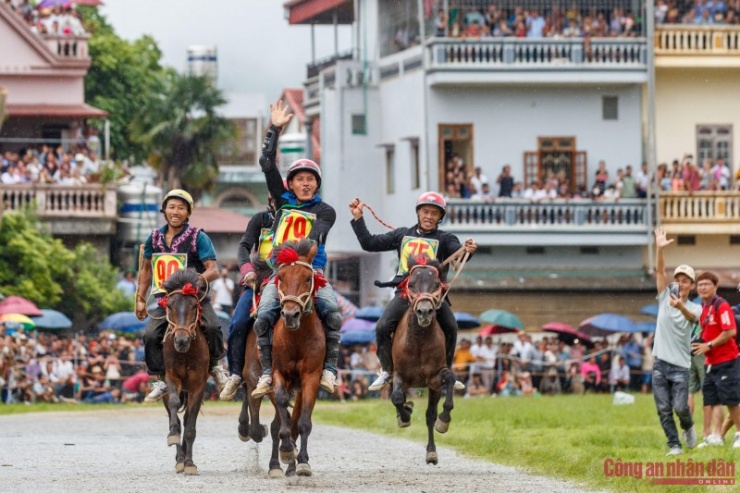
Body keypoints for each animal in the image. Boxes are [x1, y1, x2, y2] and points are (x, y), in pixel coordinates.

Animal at [390, 256, 454, 464]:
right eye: (411, 284)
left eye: (437, 284)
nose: (424, 312)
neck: (419, 339)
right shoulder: (400, 375)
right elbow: (396, 397)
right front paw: (405, 416)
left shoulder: (435, 377)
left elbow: (450, 379)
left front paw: (444, 420)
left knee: (429, 415)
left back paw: (432, 452)